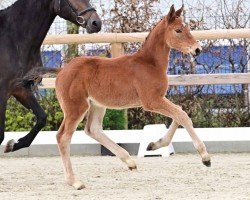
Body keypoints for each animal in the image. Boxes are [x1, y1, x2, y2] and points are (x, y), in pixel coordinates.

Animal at [55, 4, 211, 189]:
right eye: (178, 30)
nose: (197, 49)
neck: (150, 63)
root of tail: (61, 72)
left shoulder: (158, 99)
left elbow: (179, 113)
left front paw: (154, 145)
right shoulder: (151, 101)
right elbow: (182, 115)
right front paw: (205, 157)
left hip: (97, 105)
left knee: (93, 129)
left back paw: (129, 161)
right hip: (76, 108)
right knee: (63, 137)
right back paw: (74, 181)